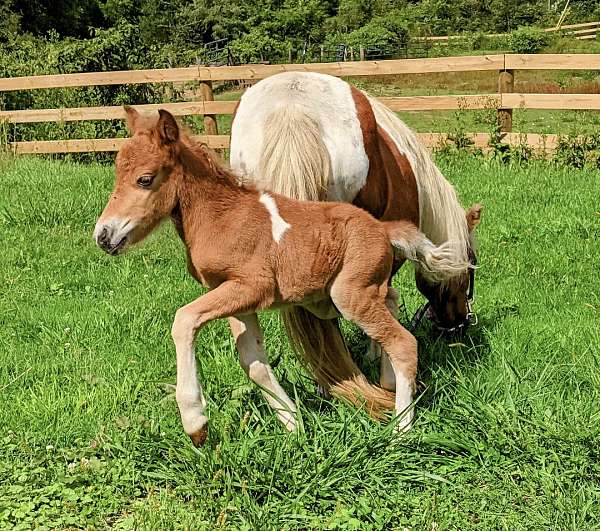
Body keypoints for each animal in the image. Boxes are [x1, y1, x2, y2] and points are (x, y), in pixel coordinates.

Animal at [95, 107, 468, 444]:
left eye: (145, 179)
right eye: (116, 174)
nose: (103, 235)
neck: (222, 216)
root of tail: (384, 229)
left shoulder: (251, 287)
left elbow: (184, 319)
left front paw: (195, 423)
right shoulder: (236, 297)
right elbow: (252, 361)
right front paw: (294, 426)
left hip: (350, 295)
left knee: (403, 341)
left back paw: (402, 430)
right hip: (360, 289)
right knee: (392, 304)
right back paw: (388, 386)